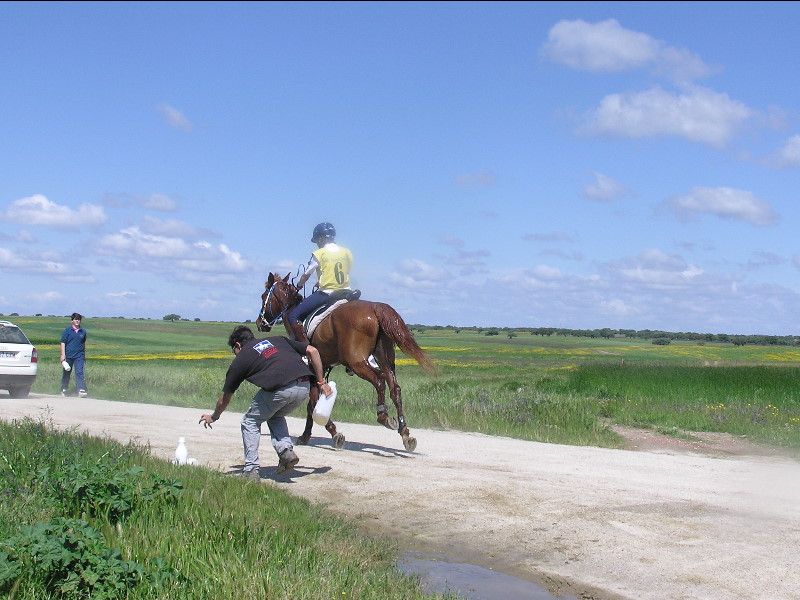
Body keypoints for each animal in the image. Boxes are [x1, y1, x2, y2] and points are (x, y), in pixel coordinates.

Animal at [256, 272, 434, 450]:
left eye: (264, 296)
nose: (259, 323)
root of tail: (374, 307)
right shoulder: (321, 369)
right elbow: (312, 403)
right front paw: (308, 435)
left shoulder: (313, 370)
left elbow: (312, 403)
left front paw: (330, 432)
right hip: (384, 359)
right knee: (394, 388)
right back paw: (405, 433)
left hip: (356, 362)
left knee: (379, 381)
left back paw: (383, 416)